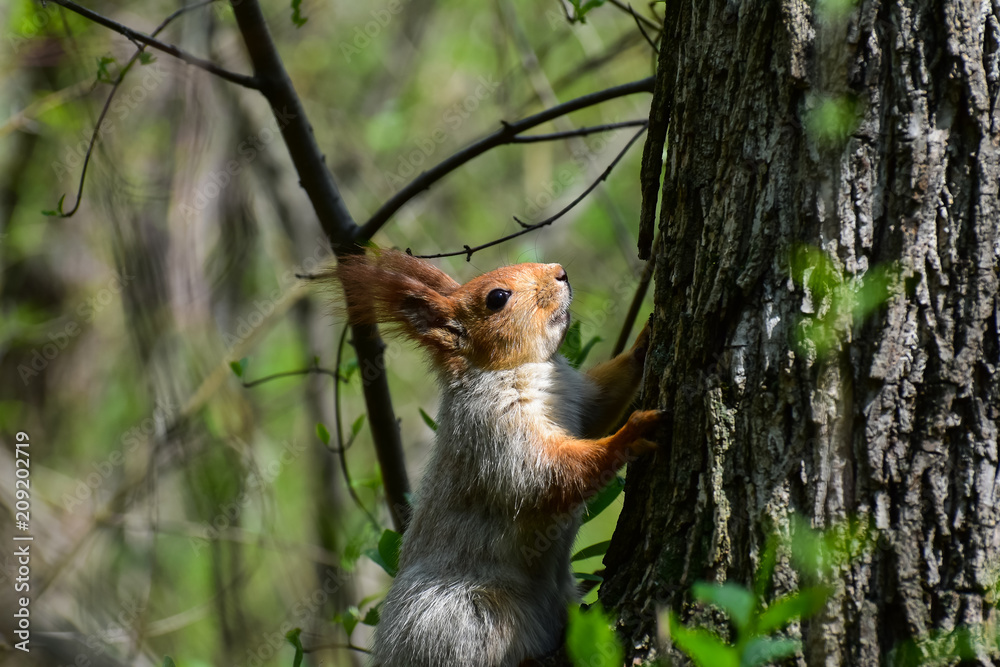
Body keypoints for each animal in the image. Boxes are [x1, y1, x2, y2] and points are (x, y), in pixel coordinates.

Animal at [330, 250, 664, 667]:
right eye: (497, 298)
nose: (560, 272)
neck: (521, 368)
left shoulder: (577, 399)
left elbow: (603, 402)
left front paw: (646, 339)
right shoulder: (494, 434)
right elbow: (549, 476)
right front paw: (631, 434)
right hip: (464, 619)